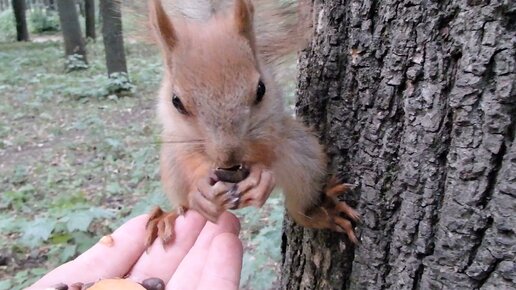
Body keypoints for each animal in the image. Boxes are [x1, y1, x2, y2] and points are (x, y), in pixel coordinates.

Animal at [143, 0, 360, 246]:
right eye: (176, 101)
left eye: (261, 89)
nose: (228, 158)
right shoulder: (179, 137)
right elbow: (189, 159)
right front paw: (200, 185)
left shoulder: (272, 122)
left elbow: (268, 147)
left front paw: (259, 176)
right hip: (171, 168)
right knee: (184, 203)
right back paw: (168, 216)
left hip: (305, 156)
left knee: (301, 210)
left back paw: (324, 212)